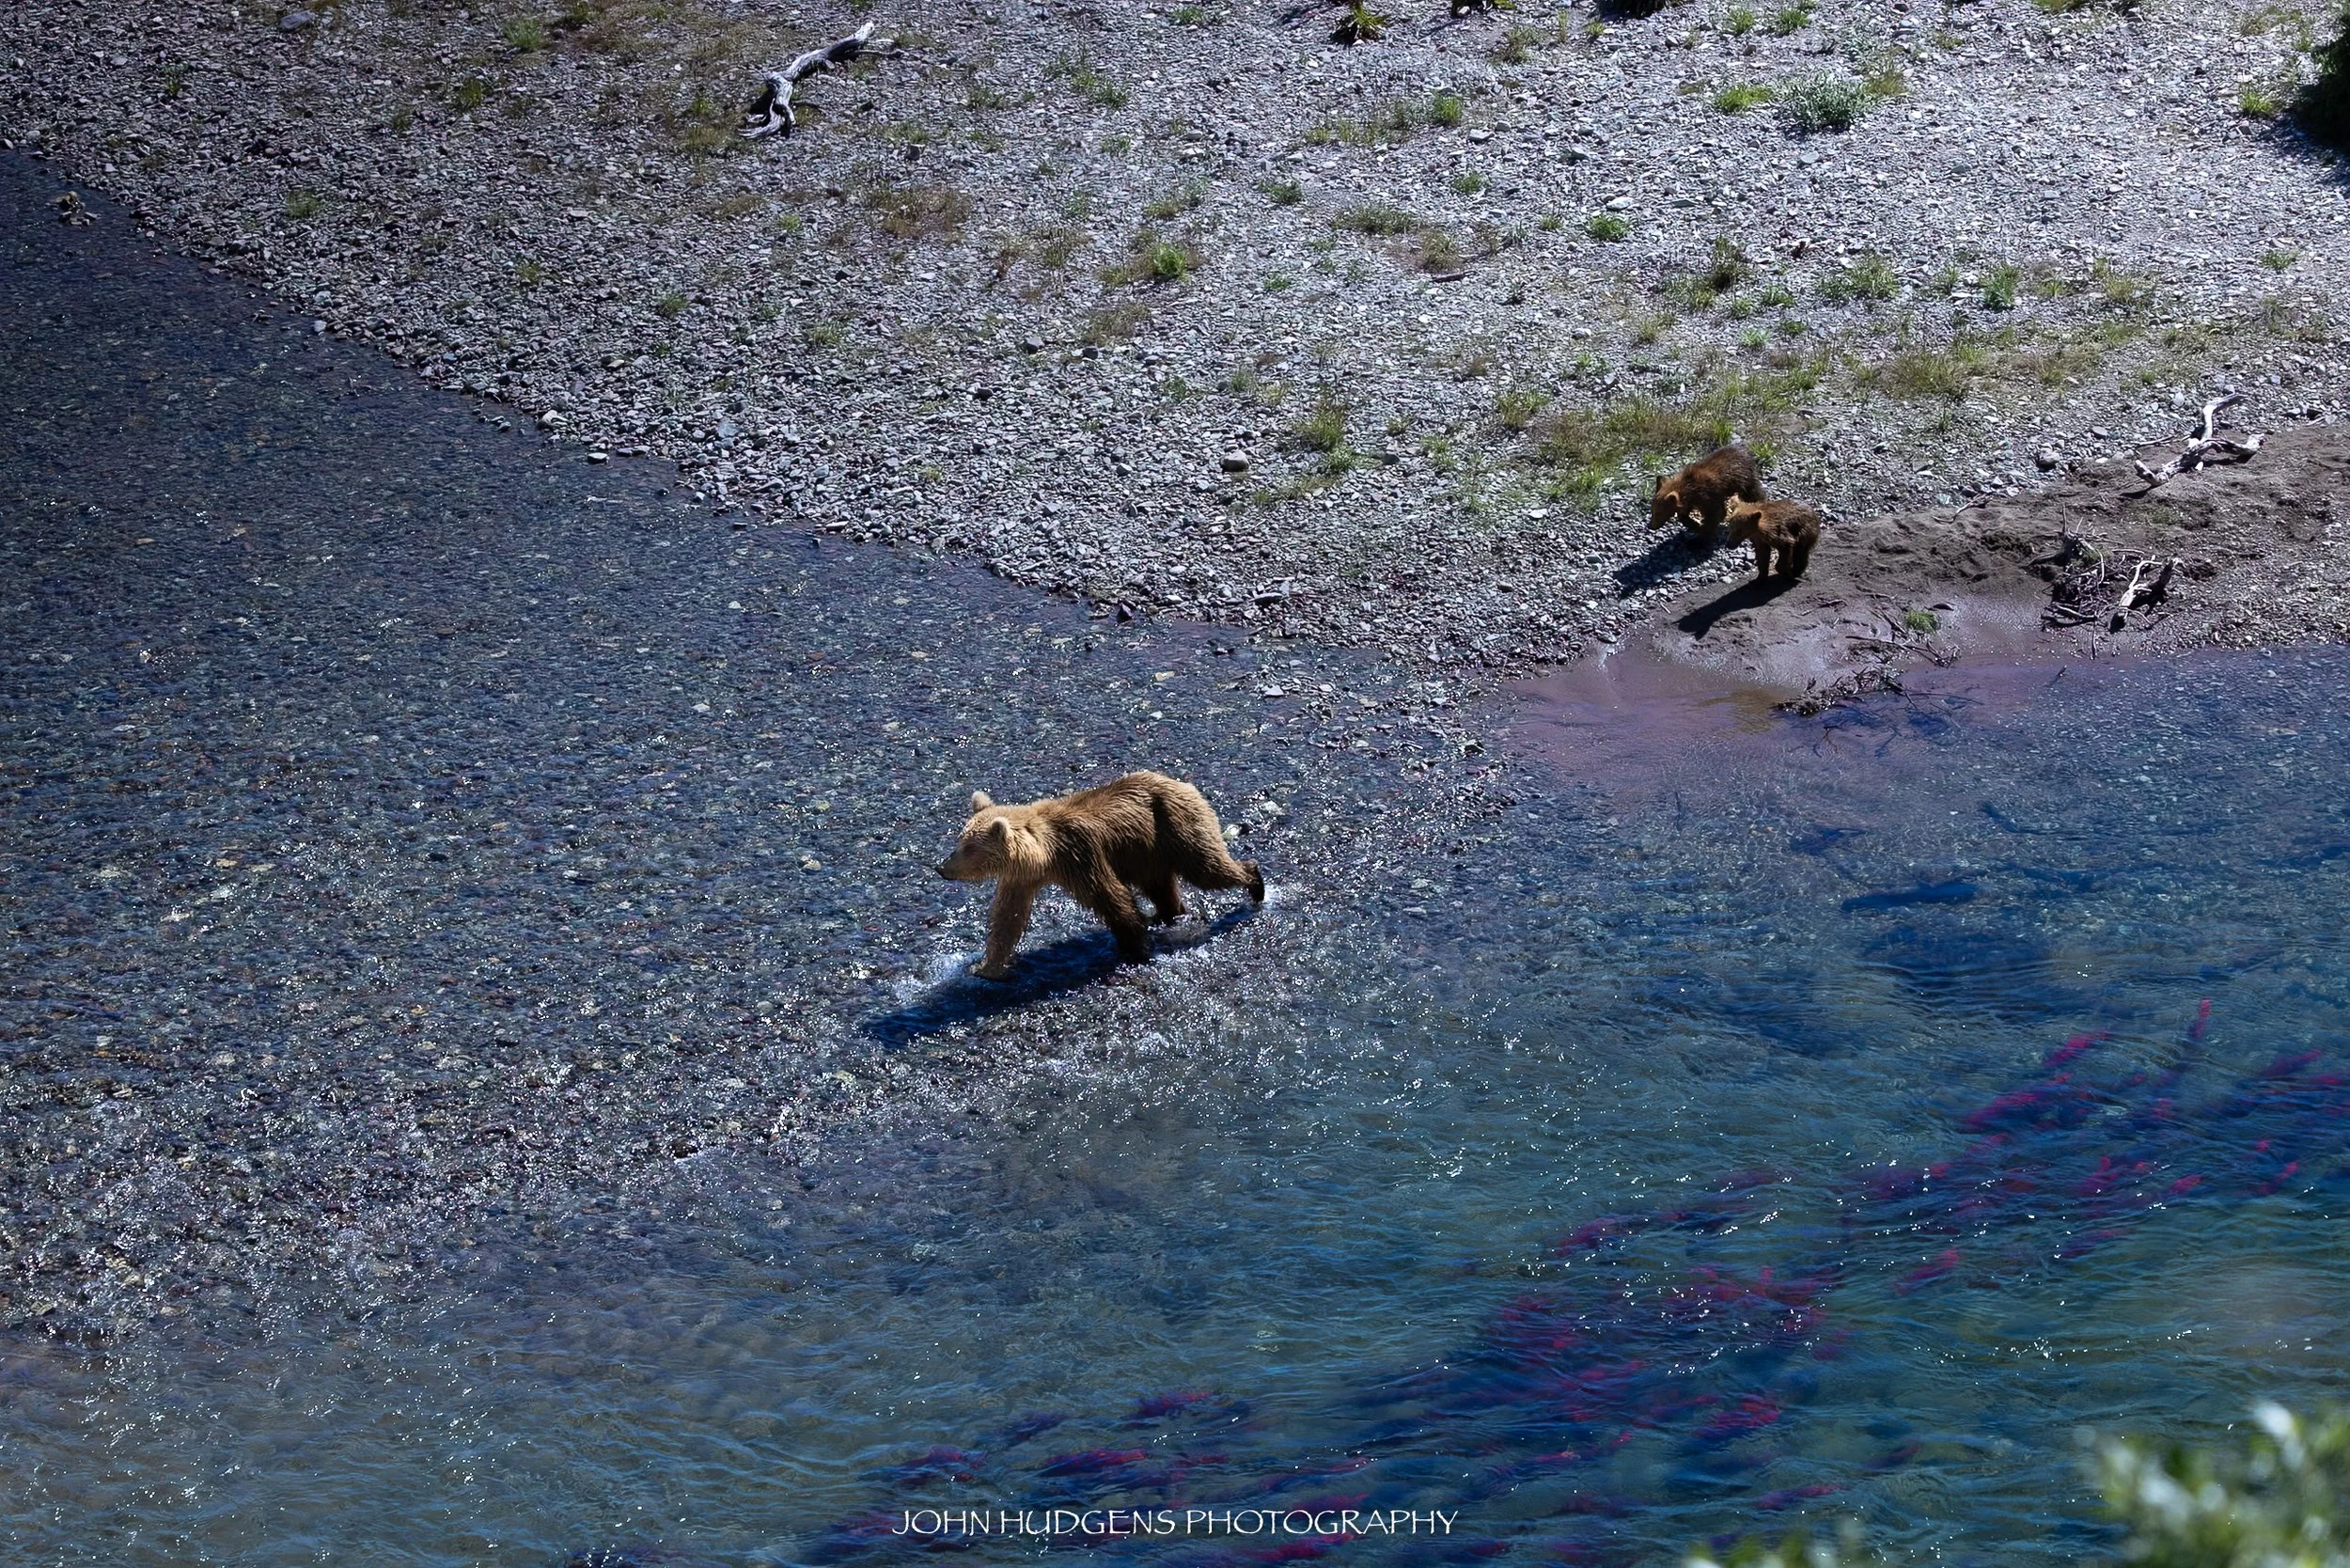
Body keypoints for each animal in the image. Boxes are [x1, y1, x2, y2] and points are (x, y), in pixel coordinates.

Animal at [936, 771, 1266, 980]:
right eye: (959, 841)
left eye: (968, 847)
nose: (941, 868)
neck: (1045, 853)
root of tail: (1185, 784)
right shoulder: (1022, 878)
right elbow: (1008, 918)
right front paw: (986, 968)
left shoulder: (1081, 854)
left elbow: (1110, 897)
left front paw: (1136, 948)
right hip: (1148, 852)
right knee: (1162, 888)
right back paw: (1166, 915)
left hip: (1175, 829)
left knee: (1209, 869)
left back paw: (1255, 883)